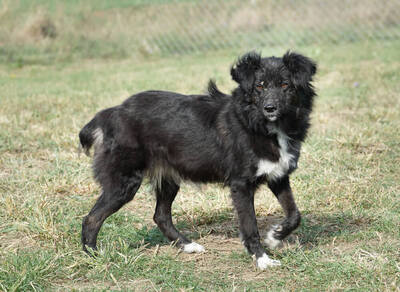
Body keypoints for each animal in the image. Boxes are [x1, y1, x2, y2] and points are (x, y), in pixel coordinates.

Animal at [79, 50, 316, 270]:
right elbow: (250, 226)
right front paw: (262, 259)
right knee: (91, 218)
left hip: (168, 179)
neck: (261, 124)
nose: (270, 108)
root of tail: (112, 113)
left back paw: (188, 245)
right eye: (259, 86)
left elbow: (295, 214)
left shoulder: (278, 176)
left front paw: (275, 237)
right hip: (124, 183)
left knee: (160, 216)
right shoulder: (241, 184)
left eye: (285, 85)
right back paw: (93, 256)